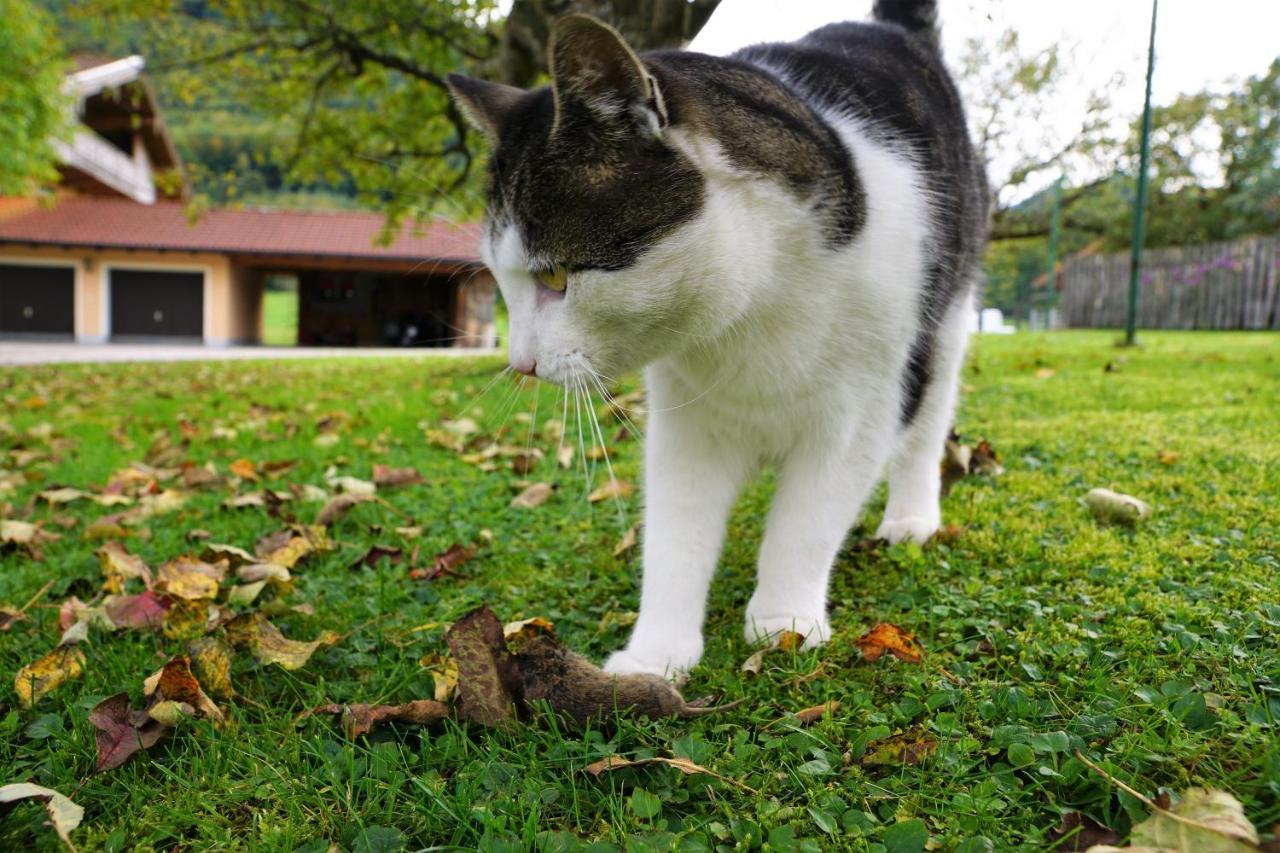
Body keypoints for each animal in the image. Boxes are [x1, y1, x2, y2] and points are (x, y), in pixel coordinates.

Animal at [450, 0, 988, 676]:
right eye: (499, 279)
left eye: (554, 275)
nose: (521, 362)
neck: (753, 307)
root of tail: (888, 31)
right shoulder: (687, 423)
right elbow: (677, 533)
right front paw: (655, 657)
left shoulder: (863, 410)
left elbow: (807, 520)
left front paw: (783, 621)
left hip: (945, 323)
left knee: (928, 426)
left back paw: (911, 517)